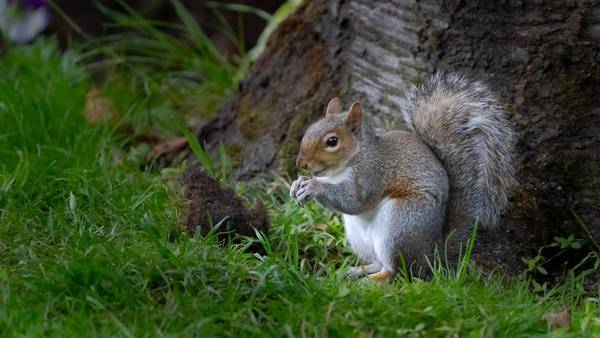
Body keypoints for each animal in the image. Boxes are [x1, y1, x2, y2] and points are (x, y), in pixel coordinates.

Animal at [290, 72, 516, 282]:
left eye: (332, 141)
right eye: (309, 129)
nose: (301, 164)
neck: (347, 164)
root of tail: (431, 253)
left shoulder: (372, 172)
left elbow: (355, 201)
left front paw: (314, 187)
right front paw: (297, 184)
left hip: (401, 224)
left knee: (397, 271)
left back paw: (369, 283)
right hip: (359, 236)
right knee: (379, 263)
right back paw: (355, 271)